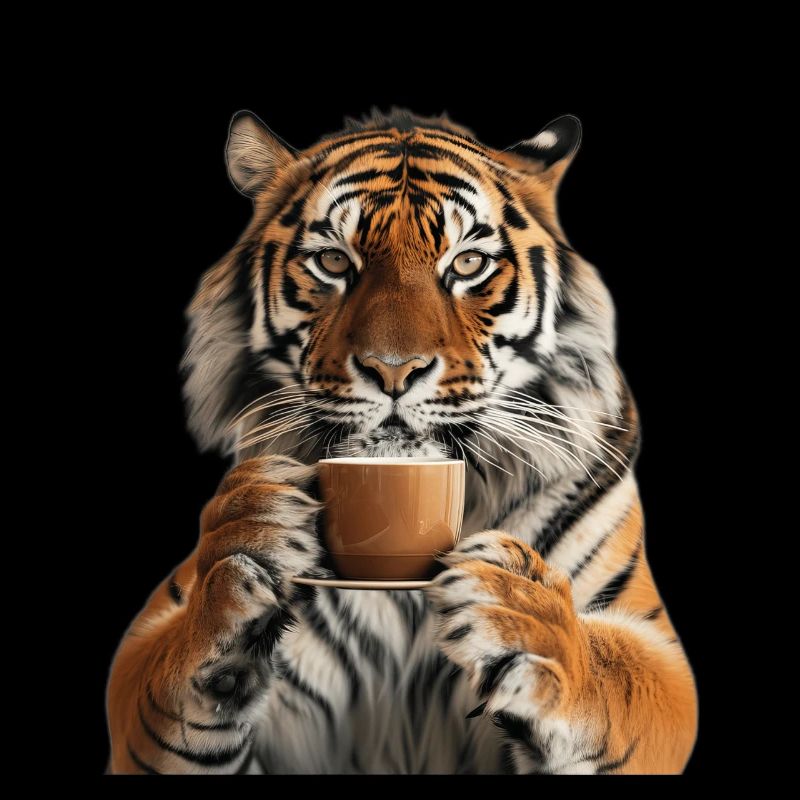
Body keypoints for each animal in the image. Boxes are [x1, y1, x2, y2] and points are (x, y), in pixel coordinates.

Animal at [106, 107, 698, 774]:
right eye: (334, 263)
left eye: (466, 265)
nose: (393, 370)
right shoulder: (139, 658)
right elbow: (166, 661)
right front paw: (250, 532)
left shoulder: (660, 652)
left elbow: (616, 671)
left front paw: (522, 615)